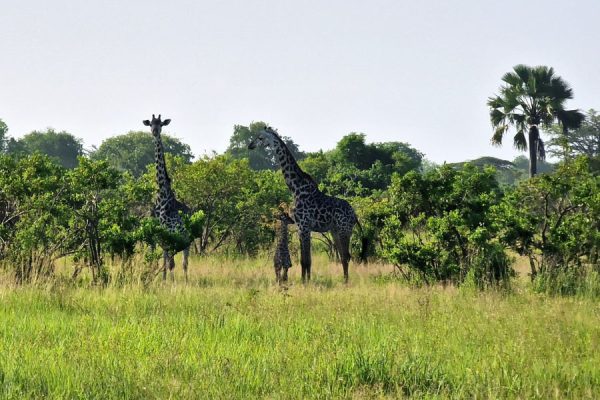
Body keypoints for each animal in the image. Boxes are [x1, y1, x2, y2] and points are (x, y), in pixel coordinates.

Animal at [142, 112, 191, 282]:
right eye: (151, 124)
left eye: (161, 124)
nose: (155, 131)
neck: (163, 196)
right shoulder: (161, 235)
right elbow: (164, 261)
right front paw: (164, 282)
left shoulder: (172, 234)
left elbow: (172, 264)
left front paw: (173, 284)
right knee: (170, 259)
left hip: (186, 239)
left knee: (184, 262)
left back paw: (186, 281)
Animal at [247, 125, 358, 282]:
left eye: (260, 137)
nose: (250, 145)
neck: (296, 188)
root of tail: (354, 214)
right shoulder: (301, 227)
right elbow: (305, 260)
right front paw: (306, 280)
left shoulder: (304, 226)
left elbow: (305, 260)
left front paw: (305, 282)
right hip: (335, 230)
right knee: (343, 256)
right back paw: (344, 280)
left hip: (344, 230)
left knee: (346, 256)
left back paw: (346, 282)